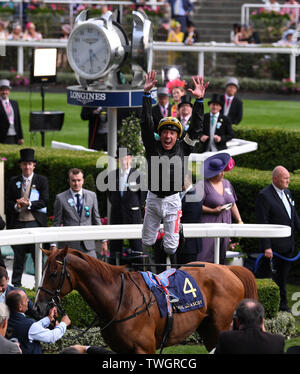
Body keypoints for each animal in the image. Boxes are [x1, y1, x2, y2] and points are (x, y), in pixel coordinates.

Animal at [33, 247, 258, 352]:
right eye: (42, 271)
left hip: (221, 326)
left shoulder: (144, 348)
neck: (120, 300)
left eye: (53, 274)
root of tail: (229, 269)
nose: (38, 307)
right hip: (208, 329)